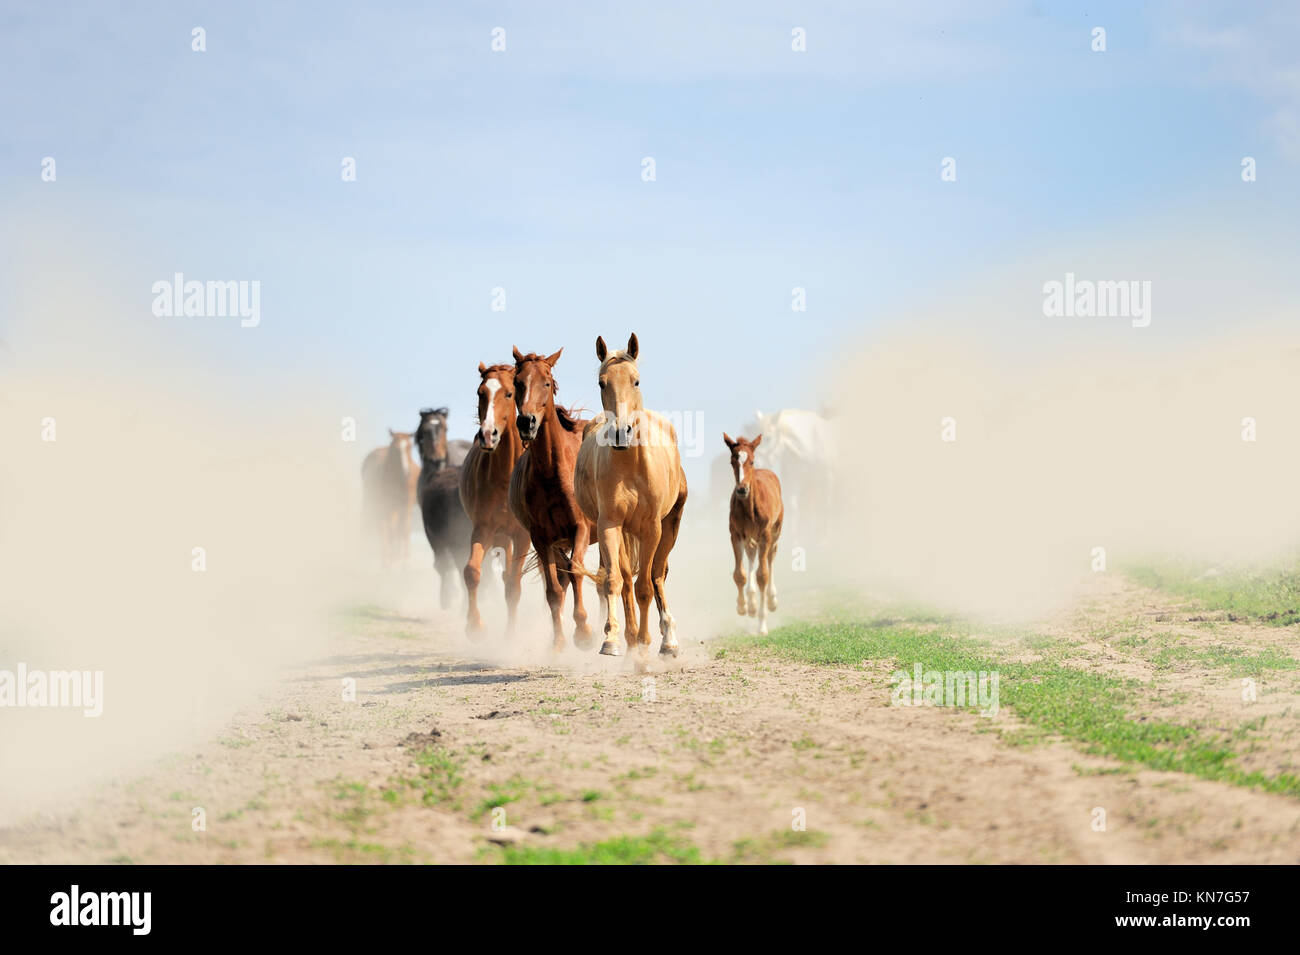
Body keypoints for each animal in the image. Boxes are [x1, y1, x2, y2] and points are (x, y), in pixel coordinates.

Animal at [361, 429, 416, 569]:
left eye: (410, 447)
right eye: (395, 449)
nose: (406, 473)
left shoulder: (406, 504)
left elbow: (404, 528)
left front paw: (406, 562)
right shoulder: (387, 505)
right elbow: (389, 529)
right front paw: (389, 562)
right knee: (380, 527)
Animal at [458, 363, 532, 638]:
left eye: (509, 394)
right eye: (481, 393)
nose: (488, 435)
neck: (505, 478)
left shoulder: (523, 535)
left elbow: (514, 586)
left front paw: (510, 636)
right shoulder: (484, 528)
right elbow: (472, 572)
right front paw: (474, 626)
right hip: (501, 536)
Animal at [507, 346, 596, 652]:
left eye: (546, 382)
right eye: (517, 383)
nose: (526, 422)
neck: (552, 475)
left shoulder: (580, 529)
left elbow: (577, 571)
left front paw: (584, 633)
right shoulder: (542, 538)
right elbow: (554, 590)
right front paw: (558, 642)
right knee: (563, 578)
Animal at [574, 333, 688, 659]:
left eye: (636, 381)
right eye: (602, 382)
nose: (620, 433)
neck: (631, 465)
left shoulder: (652, 529)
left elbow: (645, 587)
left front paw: (648, 641)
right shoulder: (609, 525)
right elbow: (615, 581)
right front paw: (612, 639)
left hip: (670, 527)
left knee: (657, 575)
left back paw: (667, 640)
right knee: (625, 580)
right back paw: (631, 636)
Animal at [723, 432, 784, 635]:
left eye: (752, 461)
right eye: (732, 461)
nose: (742, 489)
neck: (749, 508)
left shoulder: (765, 535)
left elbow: (762, 575)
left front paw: (762, 624)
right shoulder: (735, 534)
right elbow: (739, 574)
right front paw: (743, 607)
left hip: (774, 533)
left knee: (770, 557)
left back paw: (771, 600)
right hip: (749, 537)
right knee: (751, 554)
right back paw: (751, 602)